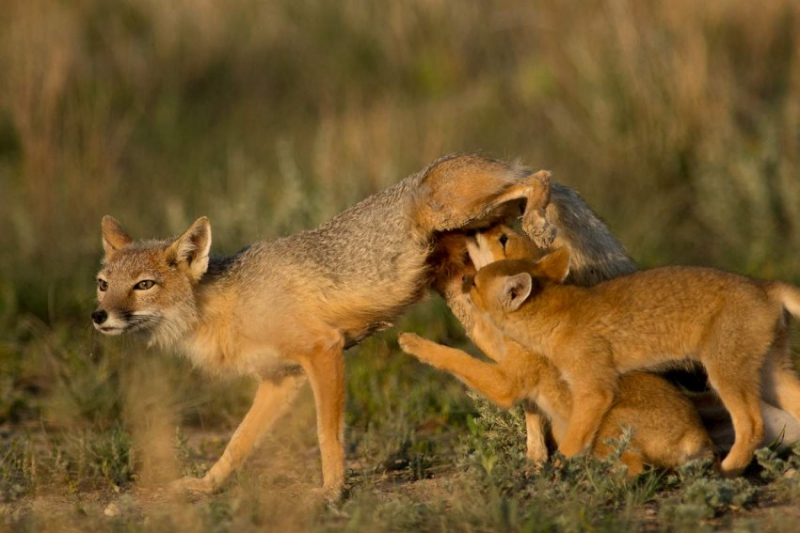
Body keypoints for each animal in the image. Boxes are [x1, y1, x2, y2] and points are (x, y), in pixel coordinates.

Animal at [94, 153, 560, 494]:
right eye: (103, 284)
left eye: (143, 285)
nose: (99, 316)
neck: (226, 303)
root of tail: (475, 156)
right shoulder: (280, 380)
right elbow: (237, 443)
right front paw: (207, 486)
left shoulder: (323, 350)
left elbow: (326, 434)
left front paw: (333, 492)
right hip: (480, 322)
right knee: (521, 379)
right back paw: (537, 459)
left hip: (451, 211)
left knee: (539, 175)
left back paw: (540, 219)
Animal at [468, 247, 800, 476]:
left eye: (474, 283)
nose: (463, 279)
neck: (558, 315)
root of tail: (765, 286)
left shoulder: (594, 389)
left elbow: (571, 443)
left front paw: (561, 469)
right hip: (770, 378)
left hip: (725, 376)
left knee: (752, 427)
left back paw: (727, 470)